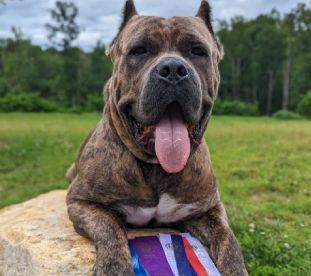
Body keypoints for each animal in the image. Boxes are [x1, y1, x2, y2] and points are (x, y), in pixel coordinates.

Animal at [66, 1, 249, 274]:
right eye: (139, 50)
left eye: (197, 51)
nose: (172, 69)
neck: (155, 167)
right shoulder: (81, 202)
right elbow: (109, 226)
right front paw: (114, 266)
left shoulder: (207, 208)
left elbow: (229, 243)